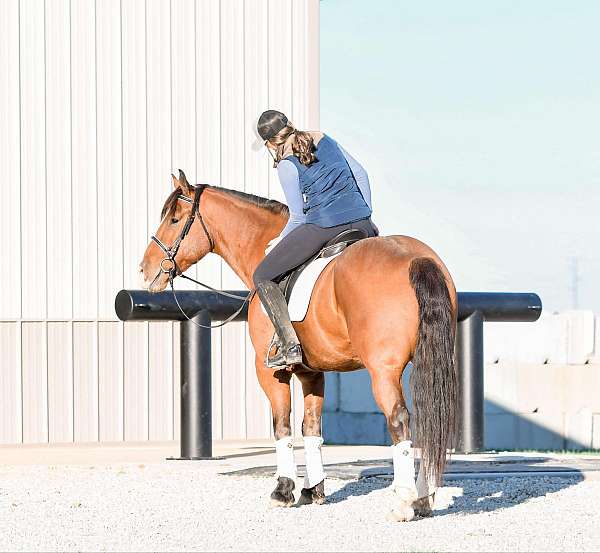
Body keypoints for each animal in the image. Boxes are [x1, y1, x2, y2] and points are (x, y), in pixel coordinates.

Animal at [139, 170, 460, 520]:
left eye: (174, 219)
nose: (145, 269)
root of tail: (415, 258)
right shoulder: (312, 373)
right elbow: (311, 429)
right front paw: (313, 490)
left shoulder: (270, 372)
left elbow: (282, 426)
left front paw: (283, 490)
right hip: (426, 362)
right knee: (428, 418)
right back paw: (423, 498)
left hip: (383, 371)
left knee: (399, 420)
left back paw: (404, 502)